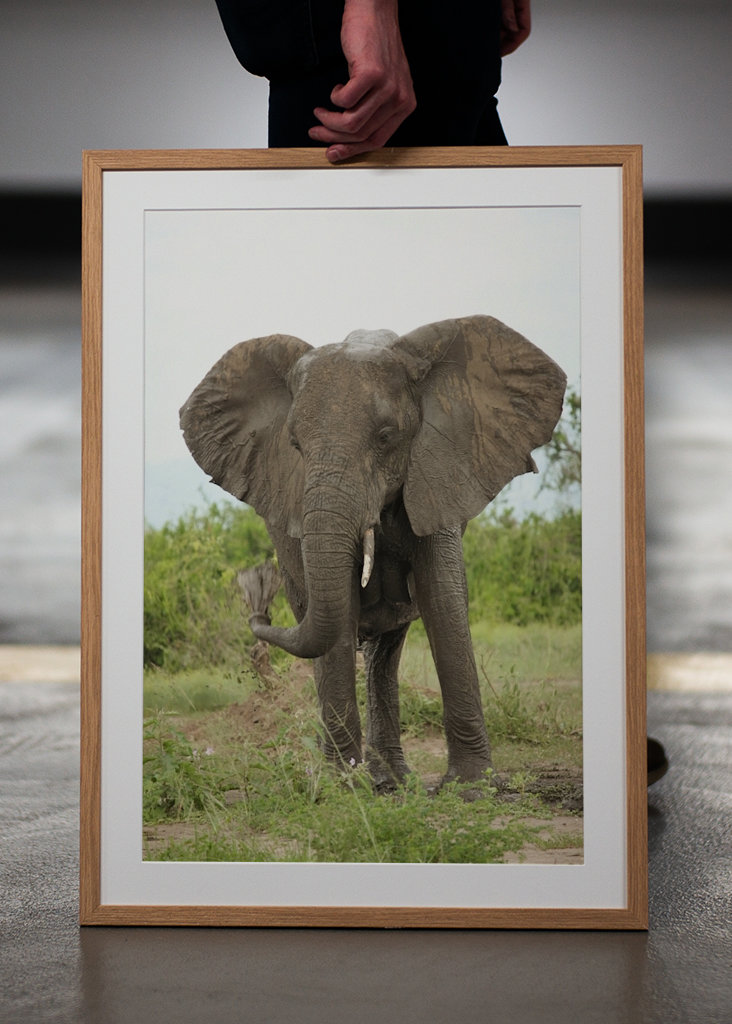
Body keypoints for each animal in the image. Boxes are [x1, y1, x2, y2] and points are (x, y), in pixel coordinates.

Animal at [179, 315, 567, 790]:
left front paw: (474, 789)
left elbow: (443, 601)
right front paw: (342, 787)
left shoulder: (437, 474)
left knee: (387, 649)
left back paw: (393, 780)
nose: (257, 588)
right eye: (295, 446)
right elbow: (339, 608)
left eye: (386, 437)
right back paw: (364, 778)